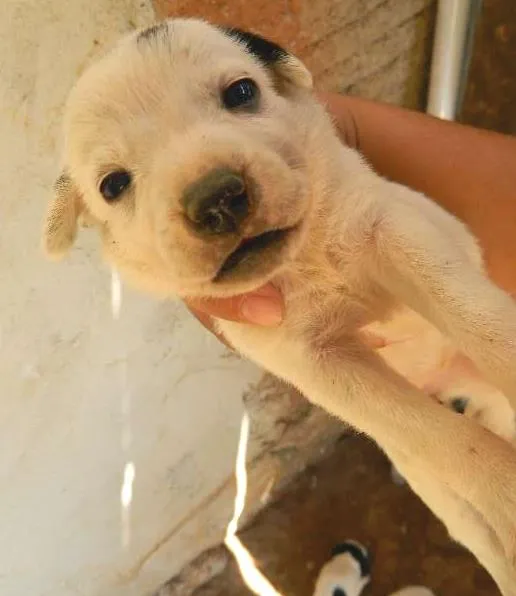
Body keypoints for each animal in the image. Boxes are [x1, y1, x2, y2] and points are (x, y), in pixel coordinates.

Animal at [42, 19, 516, 596]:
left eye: (242, 92)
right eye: (113, 184)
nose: (217, 198)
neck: (303, 259)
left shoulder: (392, 228)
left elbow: (476, 314)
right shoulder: (313, 360)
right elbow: (439, 436)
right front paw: (506, 490)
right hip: (432, 481)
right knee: (473, 521)